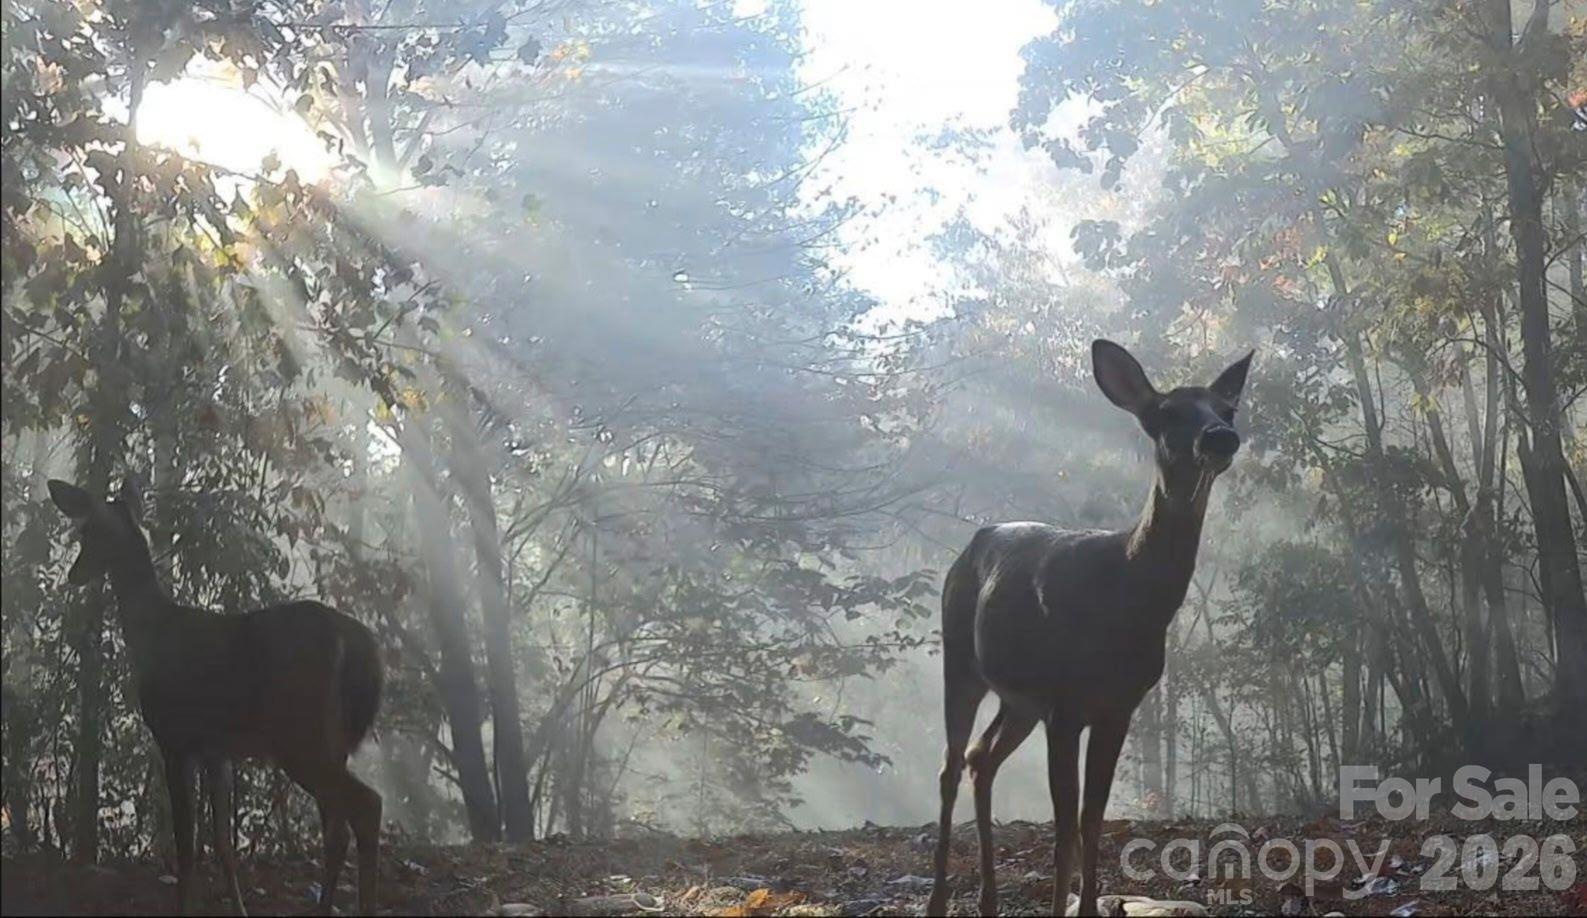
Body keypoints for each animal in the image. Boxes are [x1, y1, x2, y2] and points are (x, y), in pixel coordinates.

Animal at [48, 478, 384, 916]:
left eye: (90, 532)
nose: (75, 573)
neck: (152, 634)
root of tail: (356, 643)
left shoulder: (175, 738)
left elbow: (187, 846)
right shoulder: (217, 751)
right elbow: (223, 844)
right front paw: (239, 909)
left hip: (300, 735)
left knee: (367, 806)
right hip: (332, 740)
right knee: (338, 827)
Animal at [924, 339, 1253, 917]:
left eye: (1226, 408)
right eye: (1167, 412)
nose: (1220, 437)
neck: (1126, 599)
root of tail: (973, 543)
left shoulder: (1117, 706)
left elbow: (1093, 819)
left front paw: (1090, 905)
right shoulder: (1067, 706)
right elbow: (1065, 829)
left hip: (1020, 699)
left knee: (981, 757)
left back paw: (988, 899)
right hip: (961, 658)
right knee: (950, 765)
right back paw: (938, 901)